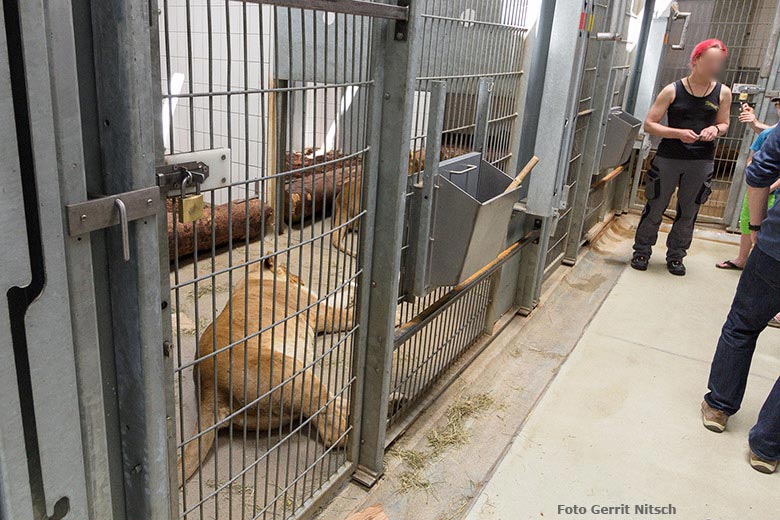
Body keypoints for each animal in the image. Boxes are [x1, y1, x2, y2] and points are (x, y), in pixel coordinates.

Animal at [178, 256, 354, 484]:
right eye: (286, 268)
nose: (300, 279)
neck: (252, 276)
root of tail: (209, 391)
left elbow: (334, 295)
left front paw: (352, 285)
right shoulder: (319, 312)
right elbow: (345, 312)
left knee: (332, 402)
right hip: (290, 369)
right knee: (333, 430)